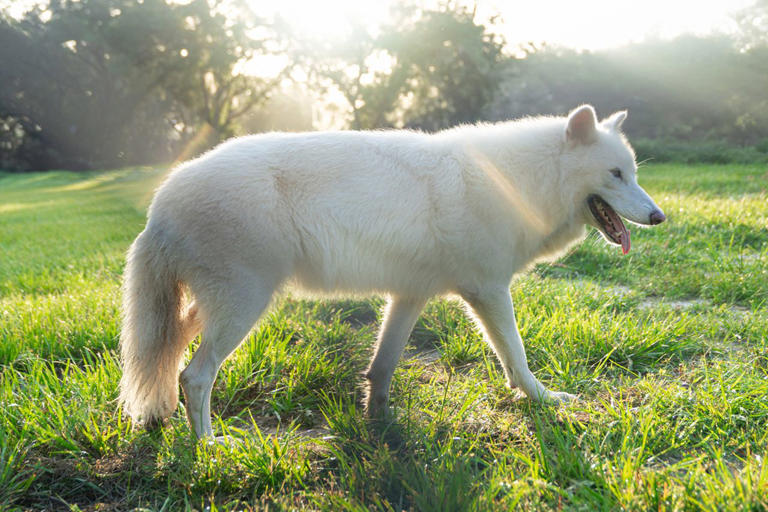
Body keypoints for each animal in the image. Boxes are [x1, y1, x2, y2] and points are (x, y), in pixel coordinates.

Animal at [119, 105, 666, 439]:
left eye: (635, 174)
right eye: (616, 174)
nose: (659, 216)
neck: (520, 181)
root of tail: (160, 205)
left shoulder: (409, 296)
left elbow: (381, 369)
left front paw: (381, 429)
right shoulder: (489, 292)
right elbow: (517, 360)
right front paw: (546, 400)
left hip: (211, 311)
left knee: (167, 359)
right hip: (242, 310)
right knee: (194, 375)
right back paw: (209, 447)